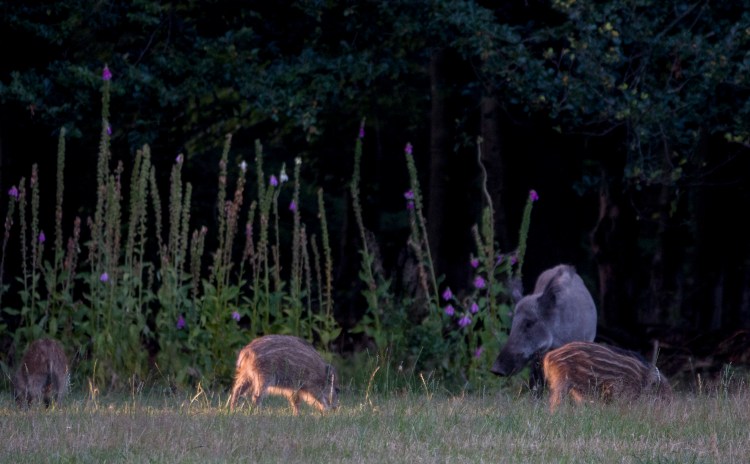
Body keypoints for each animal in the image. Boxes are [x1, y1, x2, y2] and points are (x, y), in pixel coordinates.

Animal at [542, 341, 672, 412]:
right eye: (662, 393)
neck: (643, 378)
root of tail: (549, 356)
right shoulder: (623, 394)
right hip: (562, 382)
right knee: (555, 402)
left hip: (576, 389)